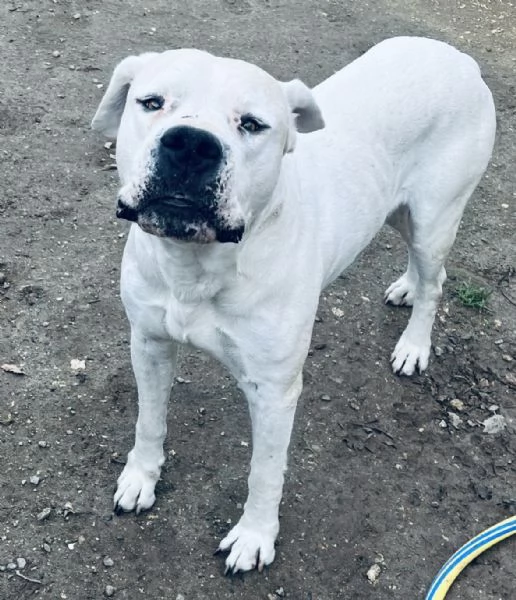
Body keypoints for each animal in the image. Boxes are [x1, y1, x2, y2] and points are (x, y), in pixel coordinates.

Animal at [92, 36, 496, 572]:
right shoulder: (150, 344)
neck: (196, 265)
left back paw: (414, 344)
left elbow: (264, 470)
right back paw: (405, 288)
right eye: (152, 102)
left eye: (252, 124)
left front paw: (254, 536)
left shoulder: (273, 391)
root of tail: (458, 57)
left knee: (436, 281)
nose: (192, 144)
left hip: (436, 218)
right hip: (395, 210)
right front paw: (141, 478)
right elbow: (149, 421)